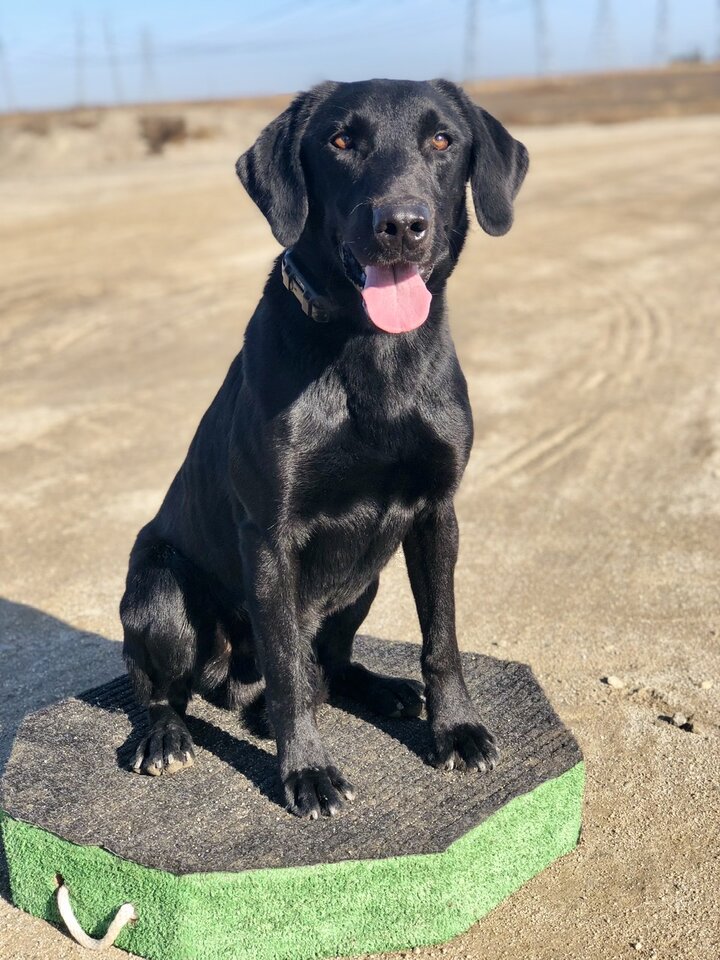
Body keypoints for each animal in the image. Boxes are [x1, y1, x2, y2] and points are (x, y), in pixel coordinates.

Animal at [119, 80, 528, 816]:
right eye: (340, 141)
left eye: (443, 139)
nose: (402, 224)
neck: (373, 354)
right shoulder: (270, 538)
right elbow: (286, 669)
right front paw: (306, 770)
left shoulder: (436, 514)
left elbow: (442, 639)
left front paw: (454, 730)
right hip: (159, 591)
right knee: (167, 687)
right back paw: (164, 737)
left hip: (364, 577)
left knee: (332, 664)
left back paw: (383, 688)